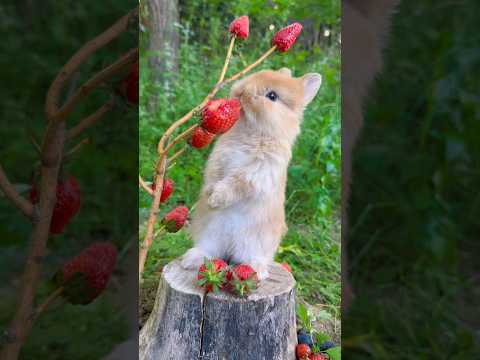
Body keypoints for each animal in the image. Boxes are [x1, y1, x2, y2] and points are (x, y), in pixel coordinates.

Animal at [181, 68, 322, 282]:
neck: (252, 132)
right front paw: (209, 195)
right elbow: (214, 176)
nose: (241, 91)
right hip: (210, 234)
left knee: (252, 259)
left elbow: (236, 184)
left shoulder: (257, 173)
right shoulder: (218, 160)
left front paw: (215, 199)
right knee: (209, 251)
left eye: (272, 96)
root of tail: (230, 249)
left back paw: (256, 270)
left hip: (256, 243)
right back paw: (189, 260)